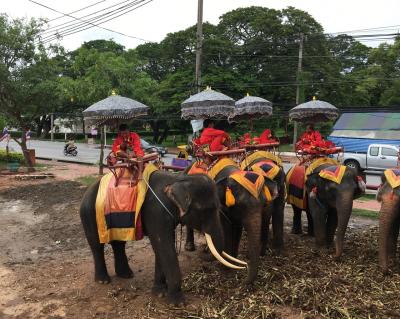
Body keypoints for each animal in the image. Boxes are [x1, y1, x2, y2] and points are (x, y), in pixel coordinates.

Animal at [79, 170, 247, 304]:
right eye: (206, 210)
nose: (202, 251)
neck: (177, 179)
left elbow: (163, 247)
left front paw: (159, 293)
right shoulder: (156, 213)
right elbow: (164, 246)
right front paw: (177, 303)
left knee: (118, 243)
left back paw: (126, 275)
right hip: (89, 213)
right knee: (97, 245)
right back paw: (103, 280)